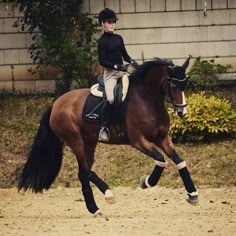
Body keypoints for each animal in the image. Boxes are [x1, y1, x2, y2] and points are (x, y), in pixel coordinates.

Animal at [18, 57, 198, 218]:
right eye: (173, 86)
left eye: (185, 85)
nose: (182, 112)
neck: (146, 99)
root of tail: (56, 104)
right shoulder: (138, 141)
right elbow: (161, 160)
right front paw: (147, 182)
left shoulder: (162, 138)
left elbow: (179, 161)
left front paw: (193, 195)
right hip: (75, 140)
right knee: (85, 170)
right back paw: (108, 194)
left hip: (89, 142)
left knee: (83, 172)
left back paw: (95, 210)